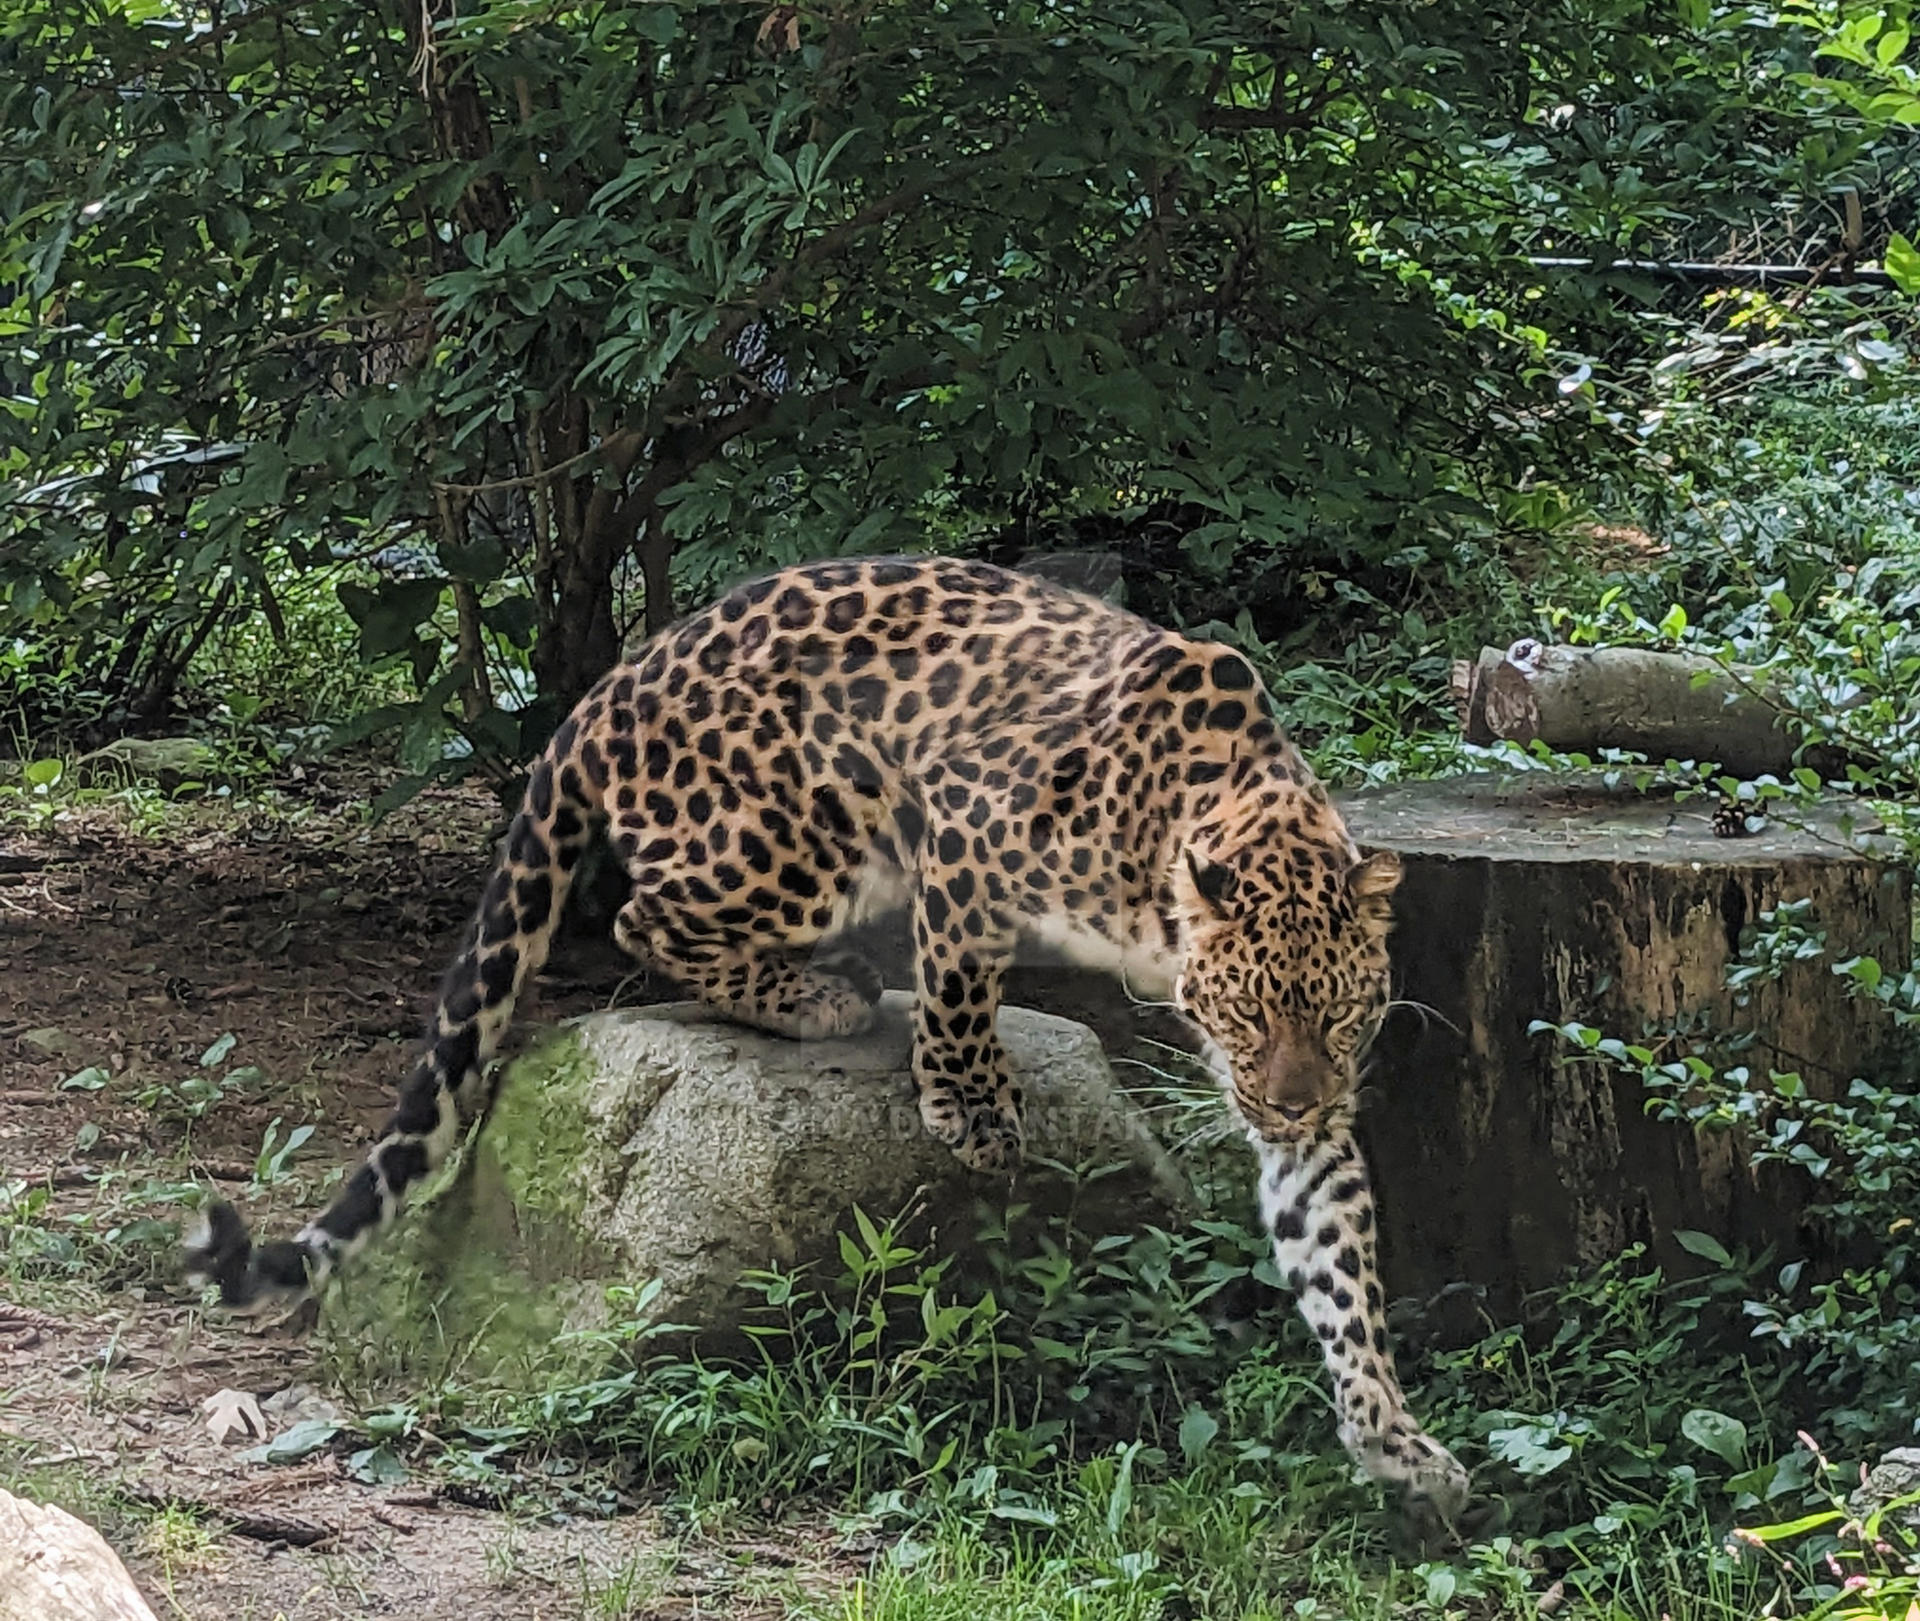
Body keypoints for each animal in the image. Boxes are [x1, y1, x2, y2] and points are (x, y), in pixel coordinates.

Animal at [184, 555, 1470, 1520]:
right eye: (1246, 1010)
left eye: (1340, 1014)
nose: (1290, 1103)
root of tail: (615, 678)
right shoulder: (965, 818)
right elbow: (960, 975)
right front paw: (971, 1105)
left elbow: (1336, 1258)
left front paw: (1392, 1437)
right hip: (807, 829)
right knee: (641, 914)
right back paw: (815, 994)